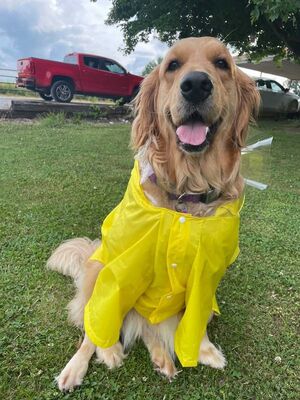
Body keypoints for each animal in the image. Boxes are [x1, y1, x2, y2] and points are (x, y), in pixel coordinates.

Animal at [47, 37, 260, 390]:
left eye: (221, 63)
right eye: (172, 65)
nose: (196, 85)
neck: (187, 189)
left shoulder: (207, 273)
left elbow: (196, 318)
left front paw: (203, 349)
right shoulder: (126, 266)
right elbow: (102, 320)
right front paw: (102, 351)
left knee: (149, 327)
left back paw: (163, 359)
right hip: (99, 270)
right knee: (95, 326)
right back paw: (94, 359)